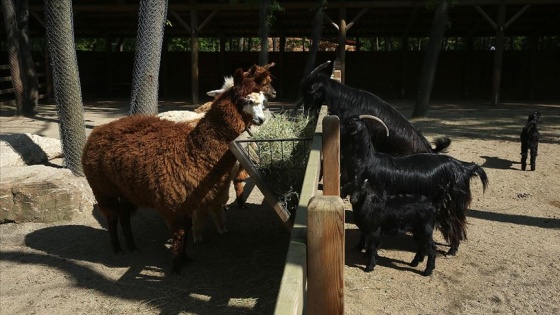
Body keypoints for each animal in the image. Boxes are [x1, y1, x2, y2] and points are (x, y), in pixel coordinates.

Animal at [340, 116, 488, 256]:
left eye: (349, 123)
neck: (366, 162)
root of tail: (463, 167)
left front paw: (362, 247)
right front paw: (359, 246)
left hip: (451, 204)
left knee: (456, 223)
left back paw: (451, 251)